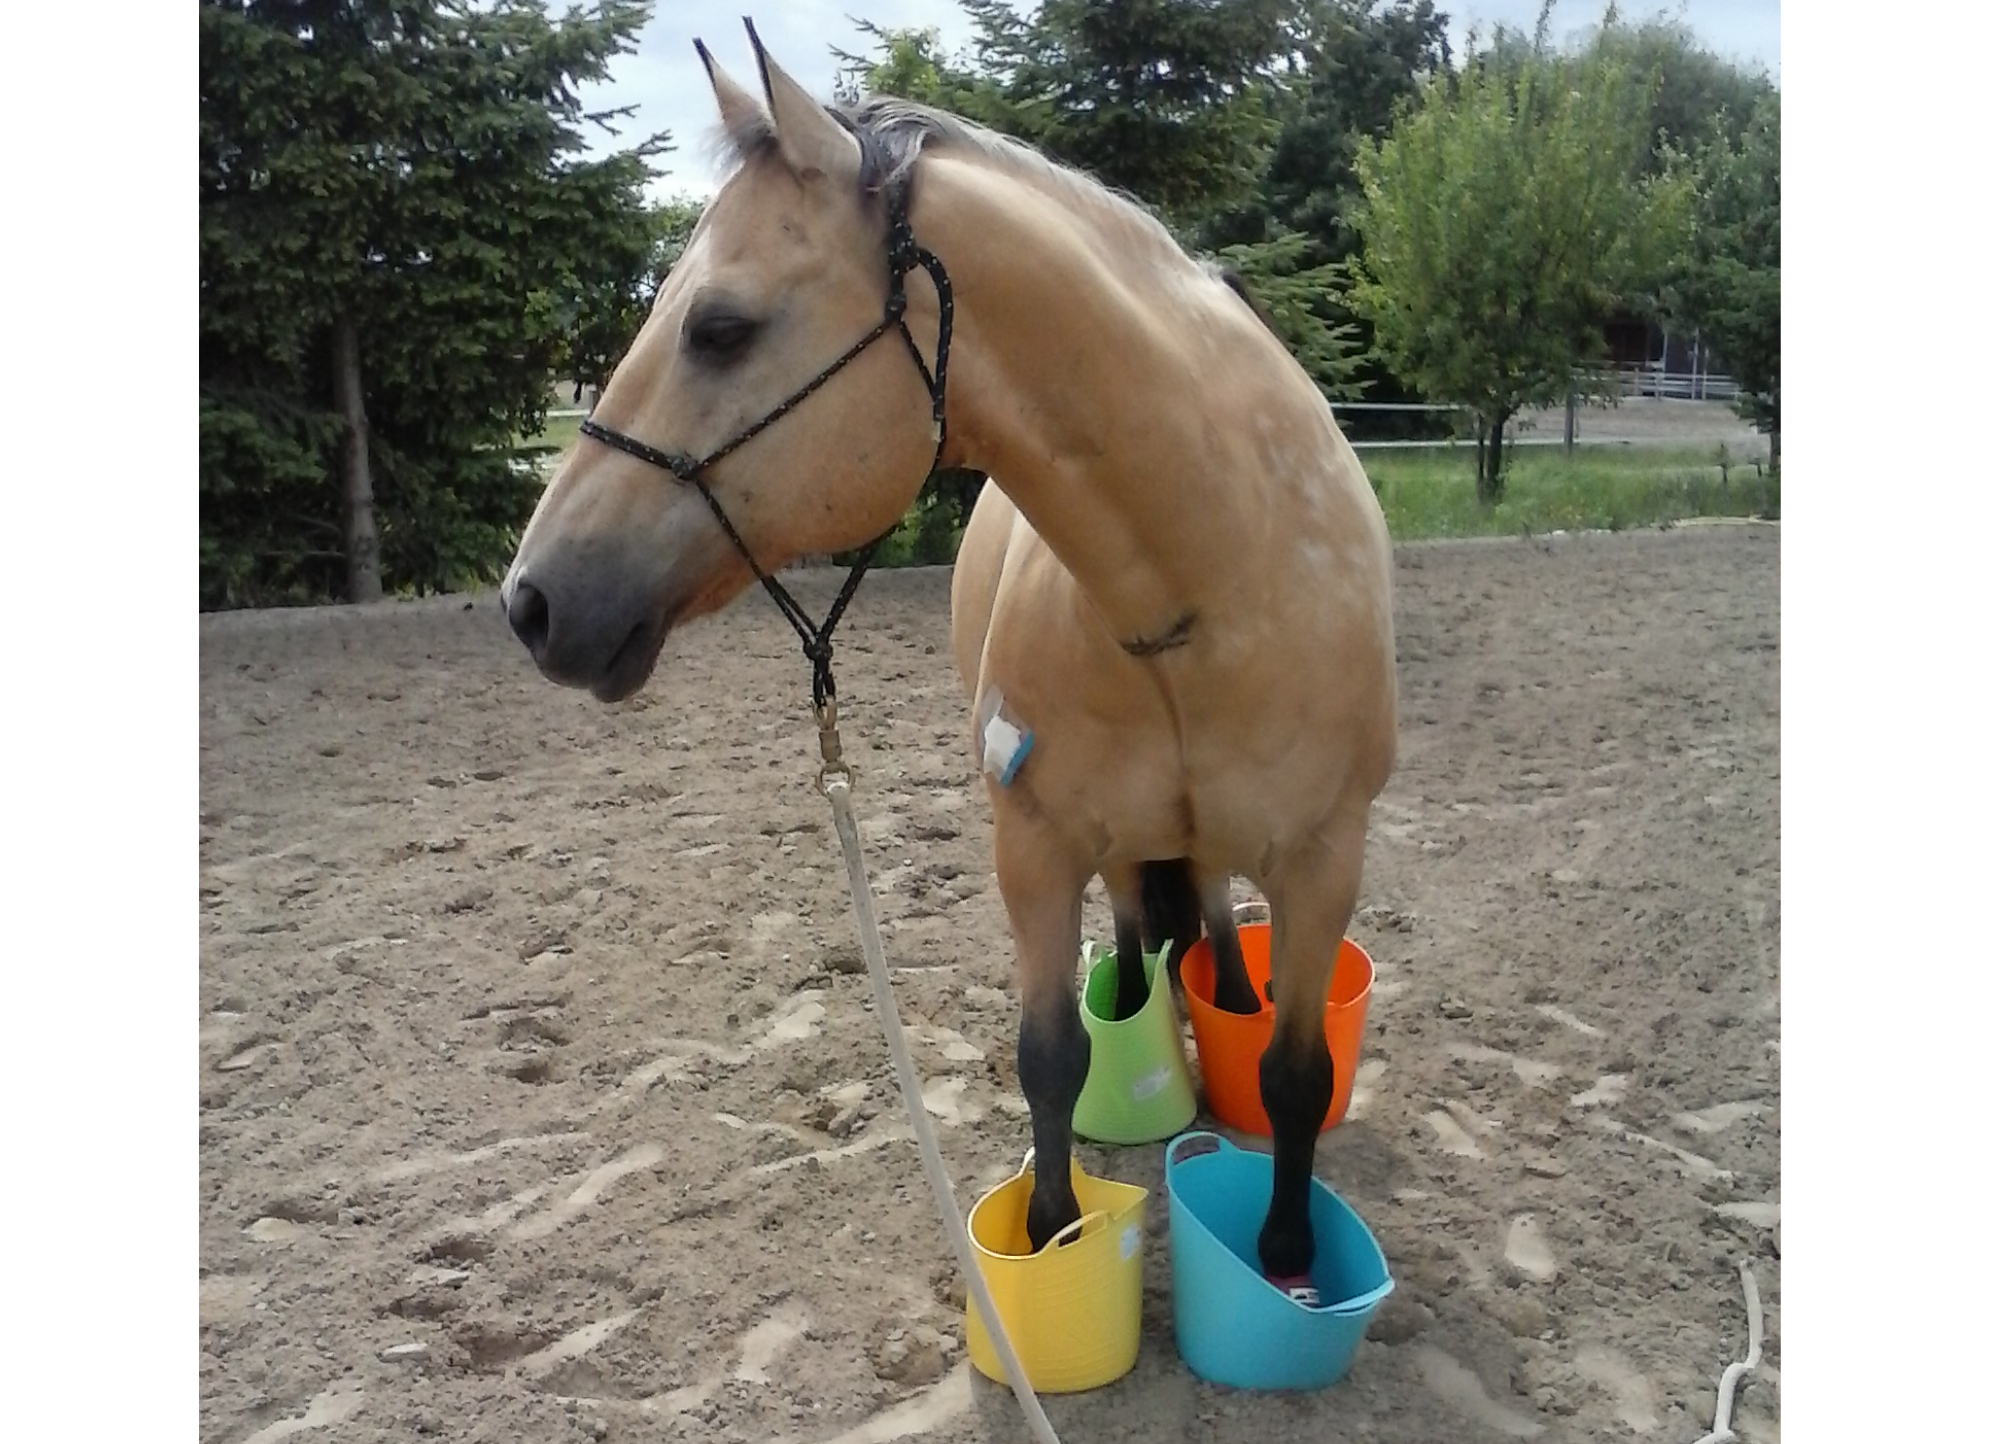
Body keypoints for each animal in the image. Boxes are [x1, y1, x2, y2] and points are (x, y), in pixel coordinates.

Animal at [500, 23, 1397, 1306]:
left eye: (718, 327)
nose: (529, 602)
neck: (1214, 583)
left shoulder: (1326, 858)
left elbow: (1290, 1069)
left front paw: (1286, 1263)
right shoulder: (1036, 848)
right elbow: (1050, 1058)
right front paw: (1053, 1235)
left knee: (1218, 956)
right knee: (1139, 948)